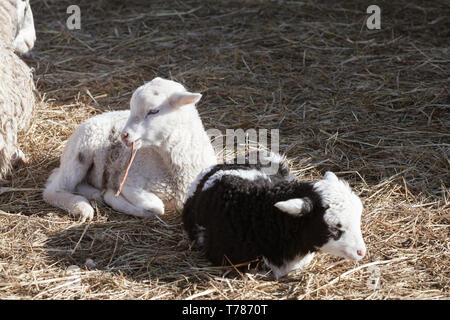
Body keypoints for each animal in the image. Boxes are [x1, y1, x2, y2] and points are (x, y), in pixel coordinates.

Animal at [44, 78, 218, 222]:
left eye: (153, 111)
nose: (124, 135)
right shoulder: (127, 181)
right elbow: (156, 207)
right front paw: (111, 196)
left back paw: (93, 195)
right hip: (80, 151)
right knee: (53, 189)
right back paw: (82, 207)